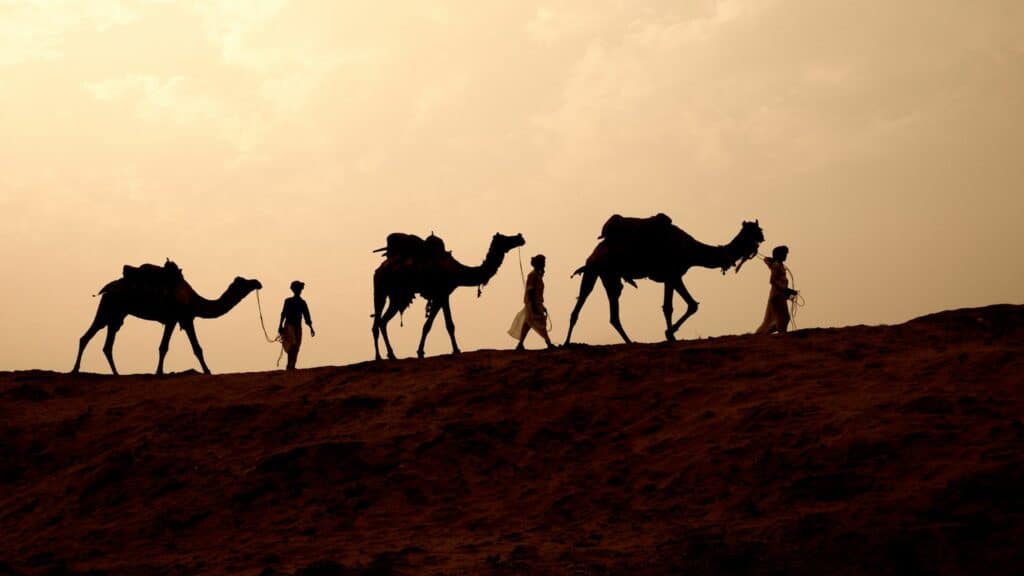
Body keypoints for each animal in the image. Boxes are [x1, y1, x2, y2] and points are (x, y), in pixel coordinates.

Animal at [72, 259, 262, 375]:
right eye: (243, 282)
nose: (257, 282)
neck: (194, 299)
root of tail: (106, 289)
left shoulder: (181, 319)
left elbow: (184, 347)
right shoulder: (179, 318)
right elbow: (177, 347)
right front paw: (207, 371)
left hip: (117, 315)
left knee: (106, 345)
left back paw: (116, 374)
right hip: (108, 308)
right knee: (86, 337)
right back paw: (75, 370)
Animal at [372, 229, 524, 358]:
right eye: (505, 238)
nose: (520, 237)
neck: (456, 271)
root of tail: (379, 269)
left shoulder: (440, 296)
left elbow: (428, 325)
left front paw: (421, 352)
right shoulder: (443, 293)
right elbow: (449, 324)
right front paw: (456, 350)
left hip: (396, 297)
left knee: (382, 321)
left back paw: (391, 355)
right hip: (381, 291)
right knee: (377, 322)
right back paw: (379, 356)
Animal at [565, 213, 765, 342]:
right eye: (755, 230)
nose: (762, 237)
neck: (691, 249)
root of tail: (596, 251)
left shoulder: (670, 277)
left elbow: (672, 306)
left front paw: (670, 334)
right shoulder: (674, 274)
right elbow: (686, 306)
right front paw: (670, 334)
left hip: (603, 274)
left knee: (601, 310)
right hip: (600, 271)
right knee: (592, 306)